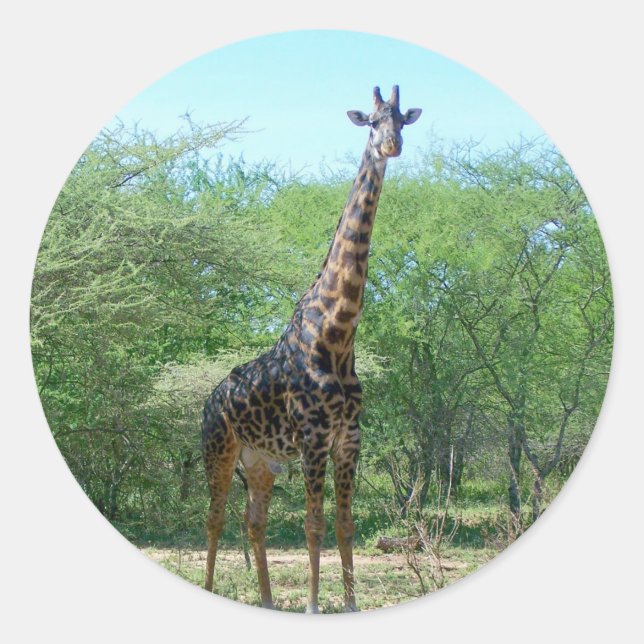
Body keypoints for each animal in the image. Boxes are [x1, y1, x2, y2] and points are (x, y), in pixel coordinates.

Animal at [201, 85, 422, 613]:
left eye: (403, 120)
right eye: (372, 122)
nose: (392, 145)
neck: (337, 334)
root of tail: (208, 400)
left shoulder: (349, 439)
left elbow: (344, 524)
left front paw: (352, 604)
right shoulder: (313, 438)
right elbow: (313, 525)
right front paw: (314, 605)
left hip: (260, 463)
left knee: (253, 521)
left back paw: (265, 601)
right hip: (218, 450)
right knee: (214, 519)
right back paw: (210, 588)